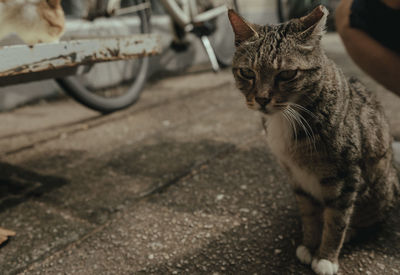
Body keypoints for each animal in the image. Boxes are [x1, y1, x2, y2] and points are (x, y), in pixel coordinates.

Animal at [228, 4, 400, 275]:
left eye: (287, 74)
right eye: (247, 72)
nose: (262, 99)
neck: (291, 114)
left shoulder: (345, 178)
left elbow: (336, 222)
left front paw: (326, 257)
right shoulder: (297, 179)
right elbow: (309, 216)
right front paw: (309, 245)